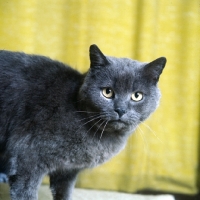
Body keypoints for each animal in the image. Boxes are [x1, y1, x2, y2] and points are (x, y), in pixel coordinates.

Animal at [0, 44, 166, 199]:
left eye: (137, 96)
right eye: (107, 92)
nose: (120, 109)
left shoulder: (67, 170)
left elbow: (64, 193)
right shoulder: (26, 160)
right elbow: (25, 192)